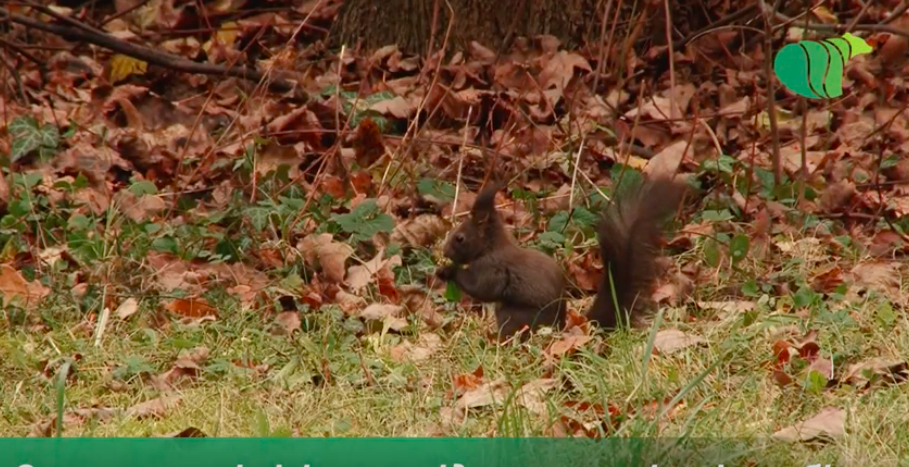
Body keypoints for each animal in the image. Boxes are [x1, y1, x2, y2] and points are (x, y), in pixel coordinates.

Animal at [436, 177, 684, 338]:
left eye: (459, 238)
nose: (445, 252)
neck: (491, 248)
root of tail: (561, 328)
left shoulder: (493, 268)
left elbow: (482, 288)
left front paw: (448, 271)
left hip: (514, 315)